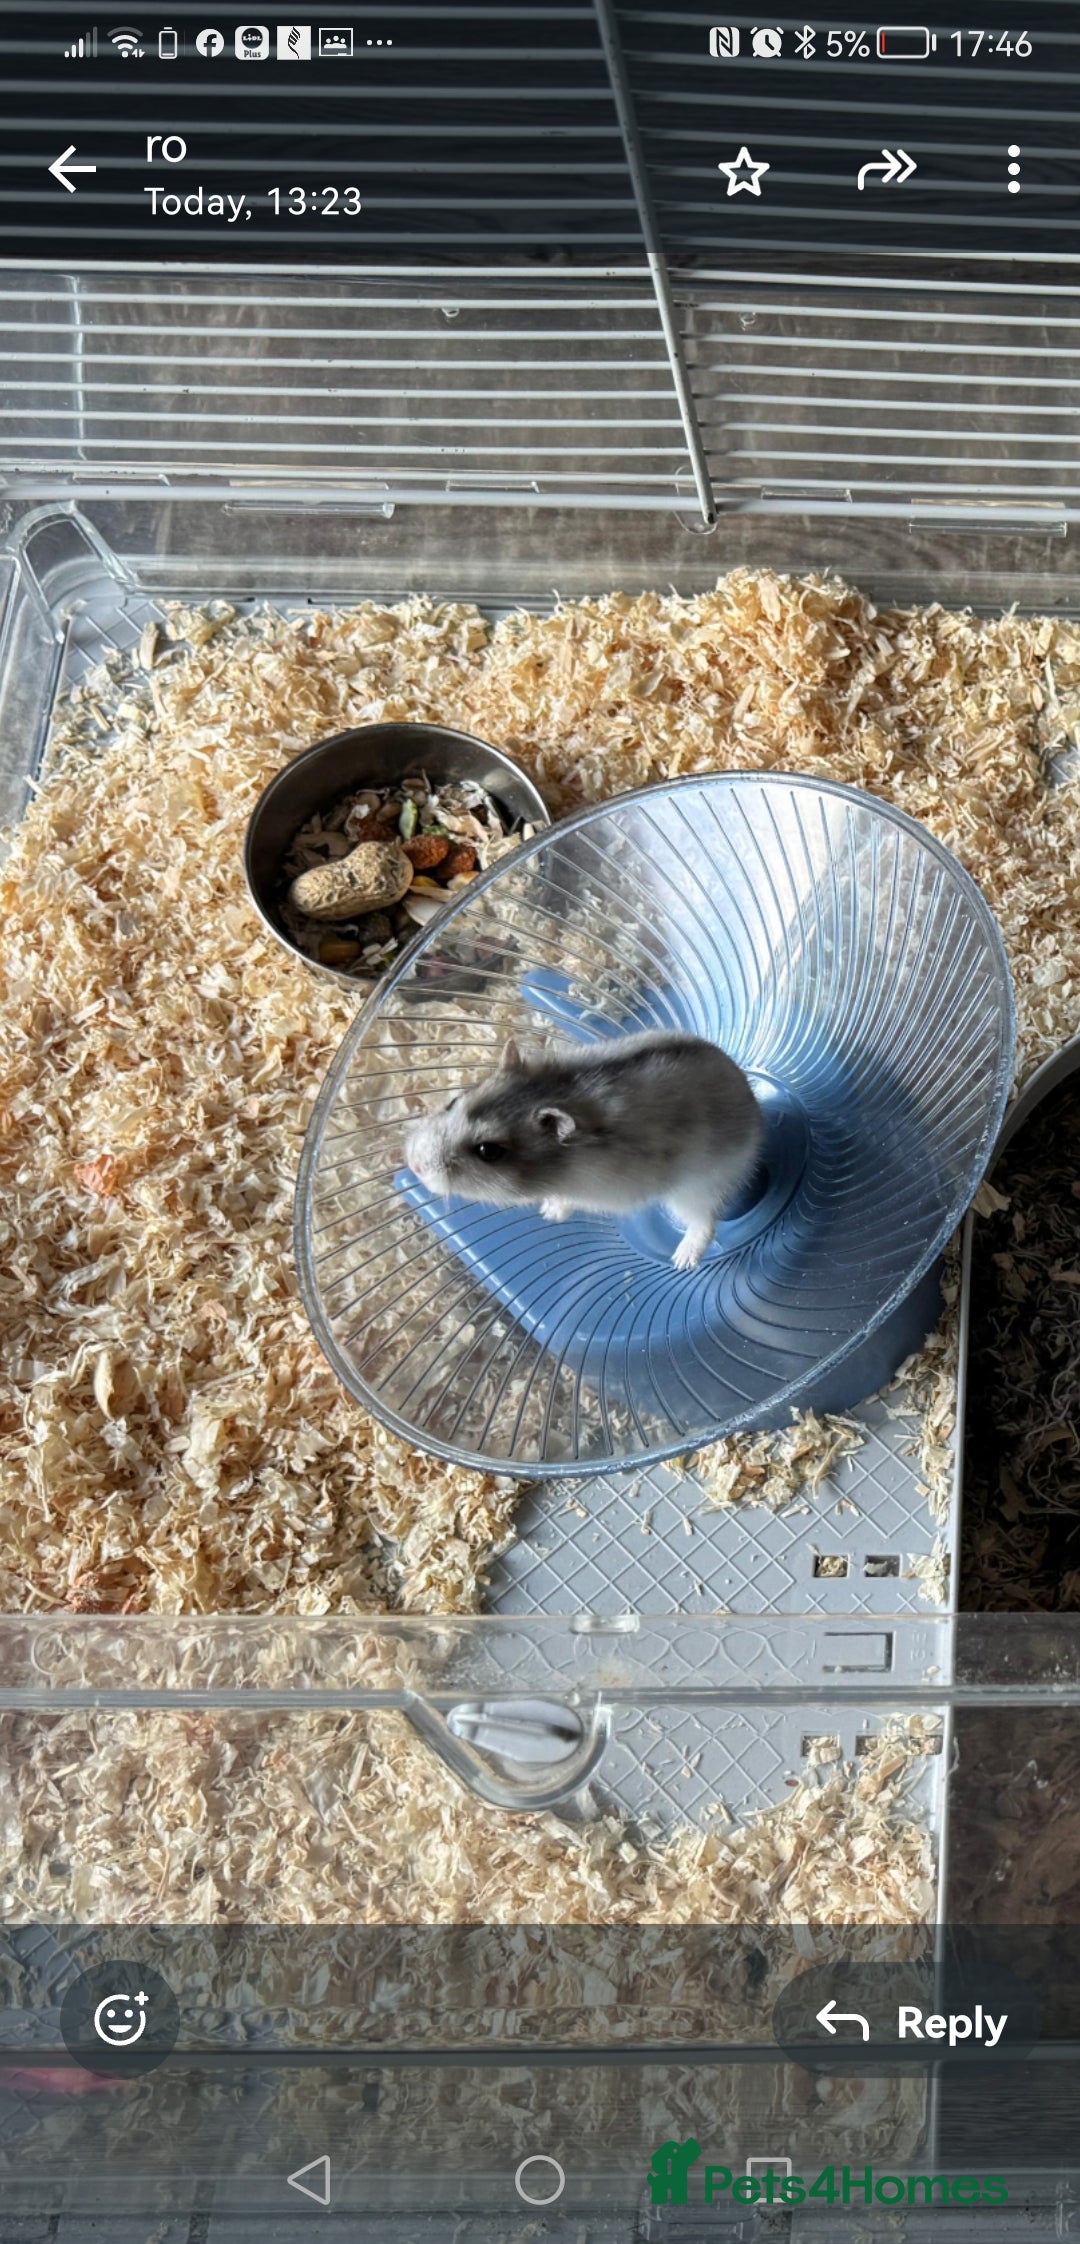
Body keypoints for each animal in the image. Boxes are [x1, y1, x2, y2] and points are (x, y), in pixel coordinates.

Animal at [404, 1031, 763, 1271]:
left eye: (488, 1151)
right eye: (453, 1102)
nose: (415, 1166)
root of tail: (752, 1100)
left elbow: (567, 1200)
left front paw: (549, 1213)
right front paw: (546, 1210)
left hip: (696, 1191)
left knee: (706, 1222)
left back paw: (682, 1261)